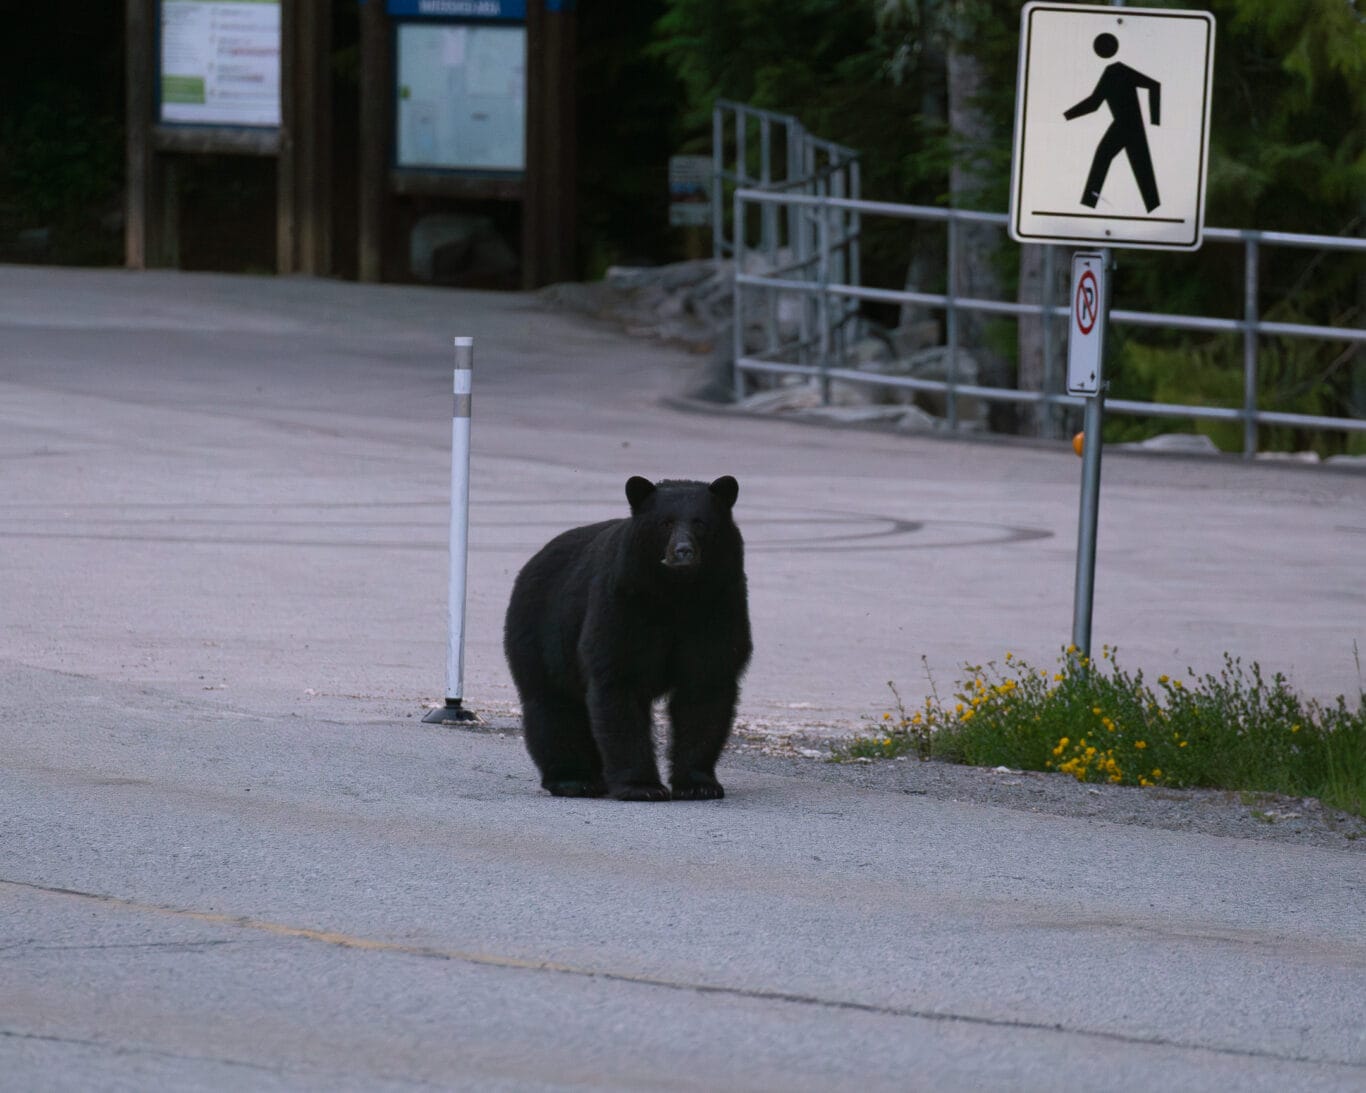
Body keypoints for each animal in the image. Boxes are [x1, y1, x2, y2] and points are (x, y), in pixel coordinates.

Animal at [503, 475, 752, 801]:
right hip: (540, 633)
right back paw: (574, 779)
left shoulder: (719, 606)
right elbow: (619, 681)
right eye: (665, 523)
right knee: (552, 704)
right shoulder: (624, 601)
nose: (683, 551)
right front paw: (642, 786)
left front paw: (699, 783)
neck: (677, 594)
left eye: (700, 522)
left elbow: (705, 686)